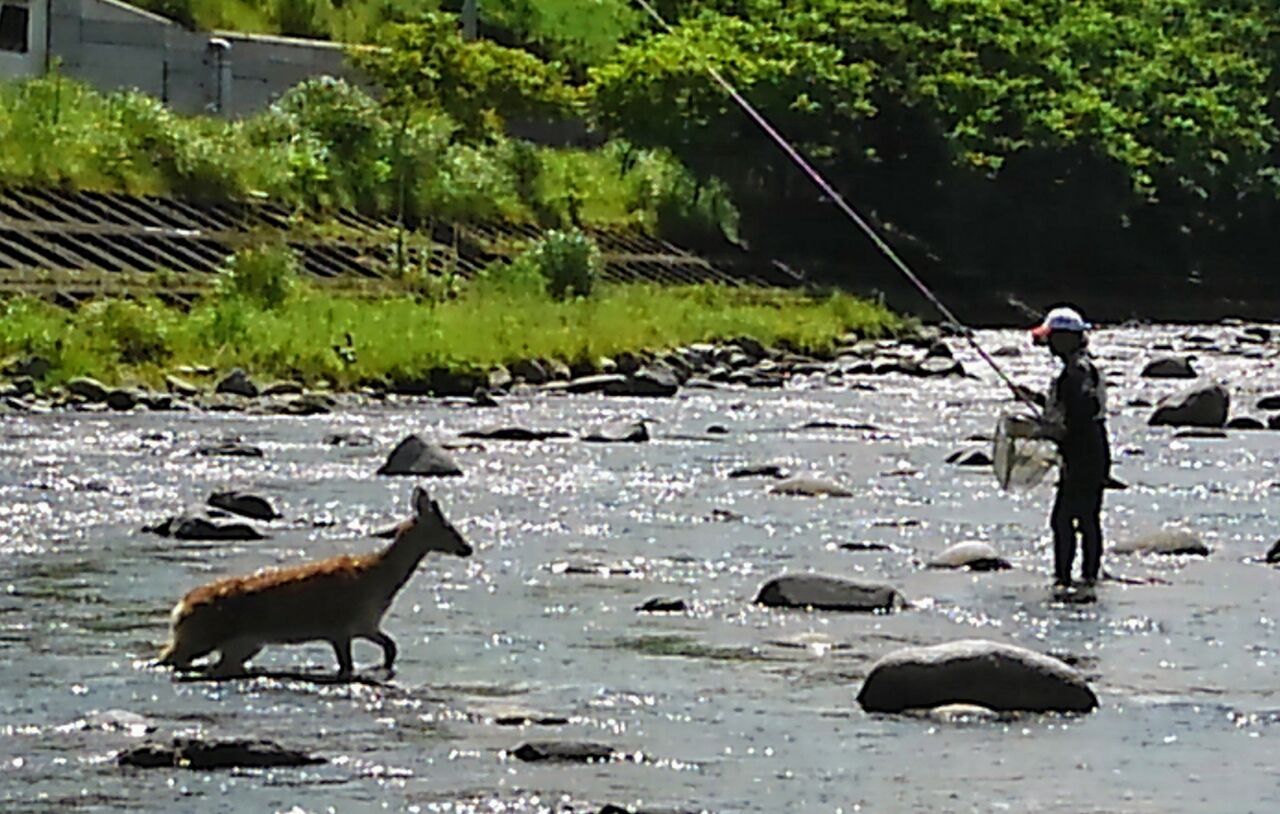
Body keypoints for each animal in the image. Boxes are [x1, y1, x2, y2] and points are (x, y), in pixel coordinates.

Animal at [157, 487, 472, 679]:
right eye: (447, 527)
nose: (467, 548)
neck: (378, 581)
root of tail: (179, 609)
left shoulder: (365, 624)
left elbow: (391, 647)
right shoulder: (339, 628)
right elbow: (348, 666)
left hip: (243, 644)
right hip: (201, 636)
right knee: (168, 656)